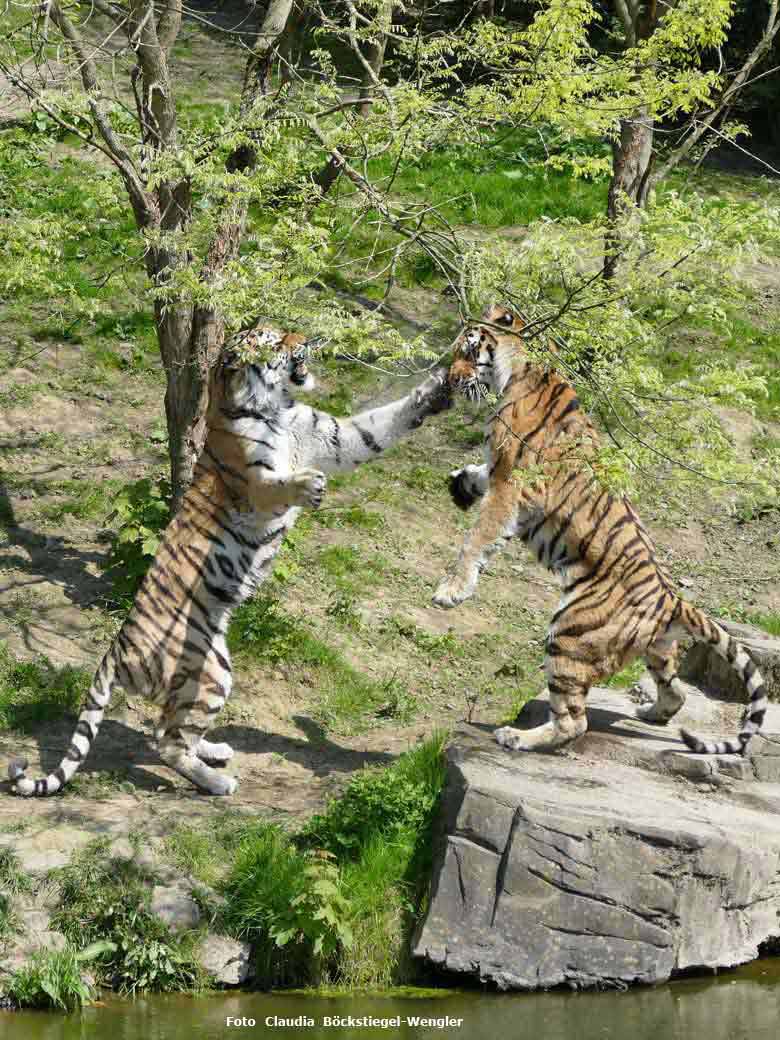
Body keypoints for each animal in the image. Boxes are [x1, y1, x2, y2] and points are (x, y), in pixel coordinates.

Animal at [9, 328, 451, 798]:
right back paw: (219, 782)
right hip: (207, 675)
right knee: (167, 743)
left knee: (167, 728)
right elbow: (276, 485)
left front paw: (439, 388)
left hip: (213, 668)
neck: (276, 408)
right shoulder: (253, 484)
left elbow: (380, 423)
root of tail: (115, 650)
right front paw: (306, 485)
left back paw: (216, 752)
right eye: (277, 339)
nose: (308, 337)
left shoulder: (333, 436)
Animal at [434, 303, 769, 761]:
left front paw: (451, 591)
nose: (449, 380)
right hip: (656, 650)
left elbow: (477, 538)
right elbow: (476, 476)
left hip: (569, 635)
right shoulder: (502, 476)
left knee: (575, 722)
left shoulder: (511, 484)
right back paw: (650, 714)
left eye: (467, 351)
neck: (518, 369)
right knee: (676, 694)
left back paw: (516, 737)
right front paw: (461, 486)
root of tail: (671, 599)